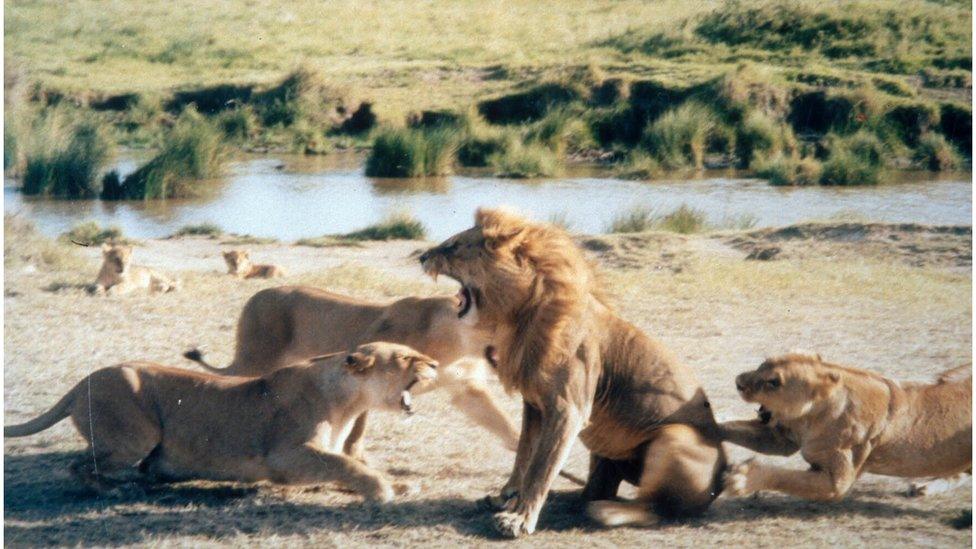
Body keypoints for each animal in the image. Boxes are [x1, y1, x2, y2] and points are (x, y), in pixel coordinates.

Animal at [3, 342, 438, 500]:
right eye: (404, 357)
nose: (435, 364)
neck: (348, 402)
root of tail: (81, 383)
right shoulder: (284, 457)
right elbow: (345, 464)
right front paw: (382, 489)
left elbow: (346, 464)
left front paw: (399, 483)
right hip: (134, 433)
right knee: (77, 464)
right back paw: (112, 489)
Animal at [418, 207, 724, 536]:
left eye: (452, 246)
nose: (422, 257)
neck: (521, 317)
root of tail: (721, 479)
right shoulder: (534, 405)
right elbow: (524, 455)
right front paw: (507, 498)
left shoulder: (568, 409)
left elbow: (542, 467)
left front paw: (519, 518)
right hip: (605, 450)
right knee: (596, 490)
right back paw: (567, 499)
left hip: (675, 435)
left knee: (653, 507)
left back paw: (607, 511)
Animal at [716, 352, 968, 500]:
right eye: (762, 364)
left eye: (774, 382)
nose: (738, 382)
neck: (812, 416)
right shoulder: (783, 439)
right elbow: (733, 427)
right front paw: (711, 423)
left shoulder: (837, 482)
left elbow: (785, 476)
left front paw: (741, 479)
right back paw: (923, 488)